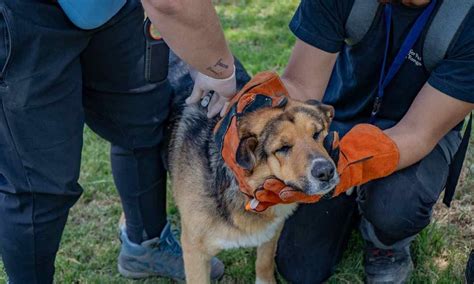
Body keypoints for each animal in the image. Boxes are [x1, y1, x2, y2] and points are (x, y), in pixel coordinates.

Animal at [170, 72, 336, 282]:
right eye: (282, 148)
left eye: (317, 134)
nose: (326, 172)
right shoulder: (194, 251)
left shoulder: (271, 232)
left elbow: (264, 264)